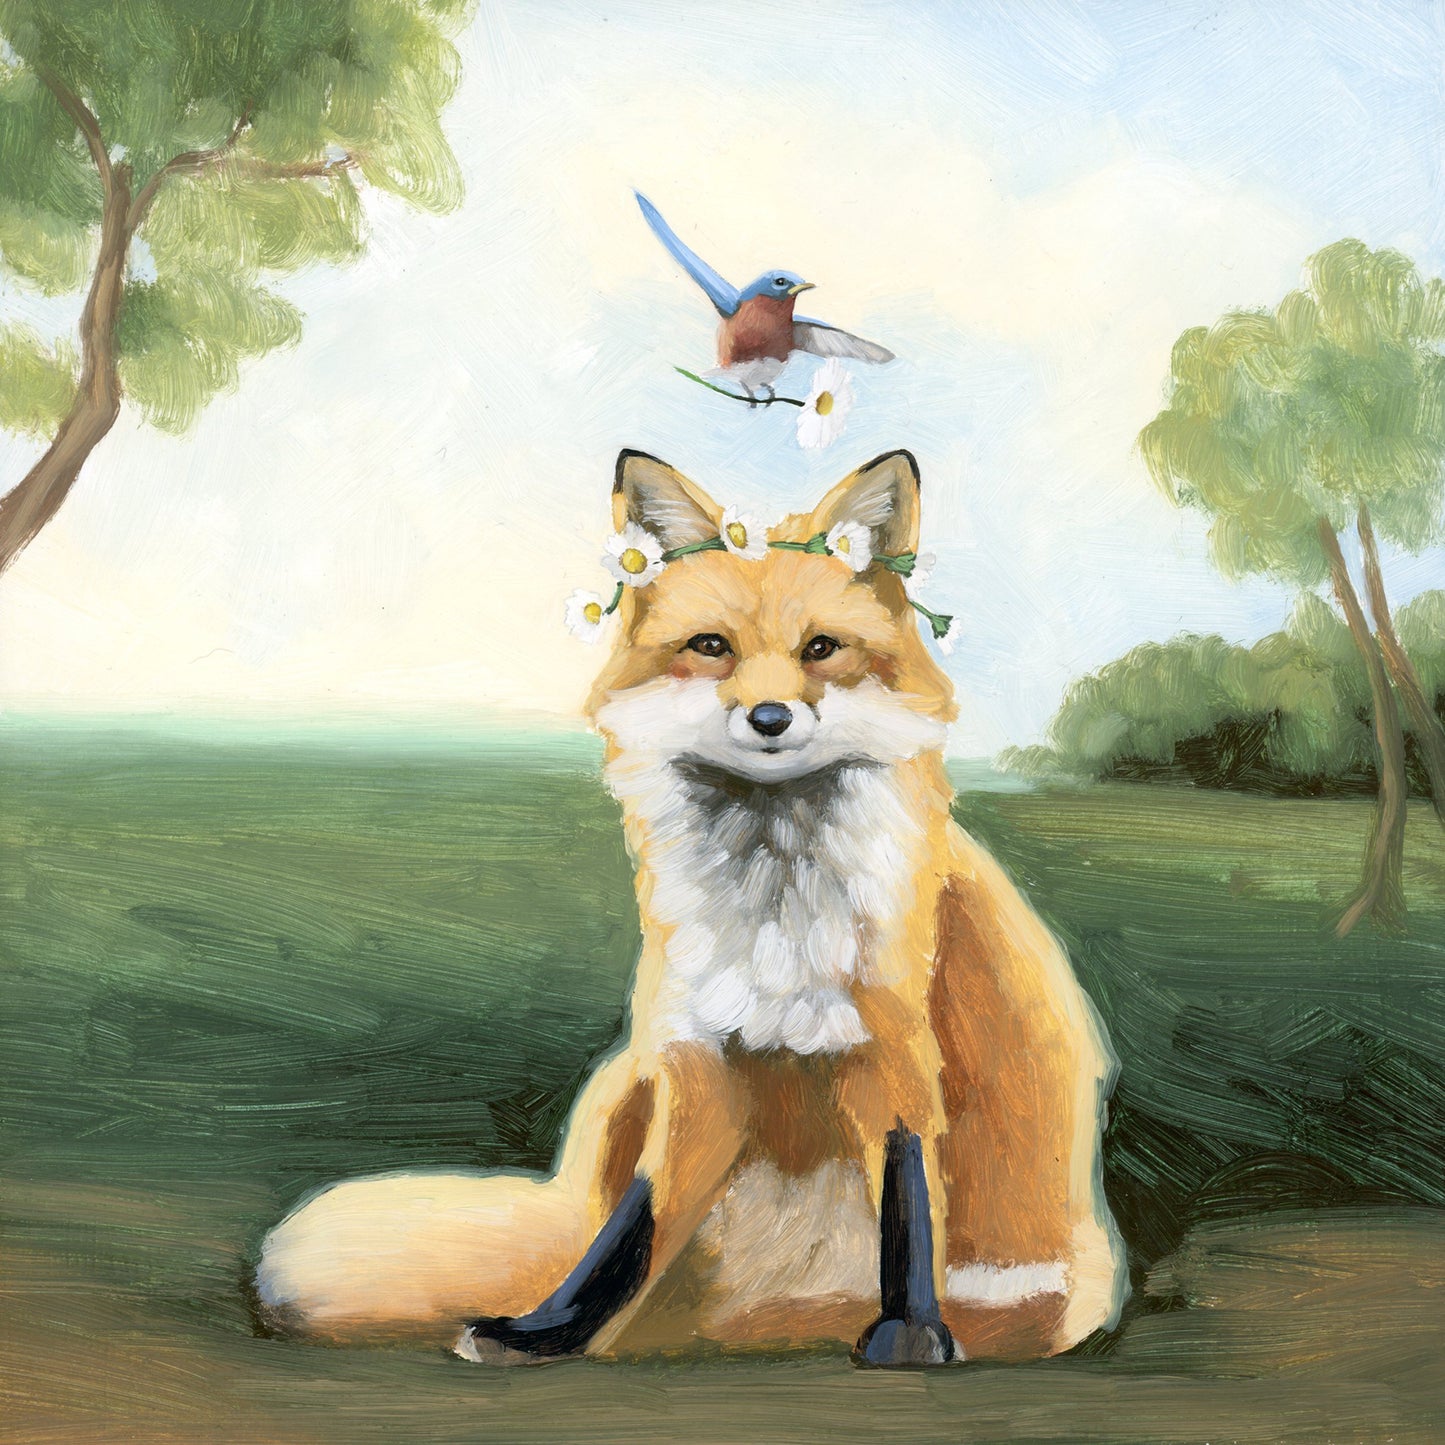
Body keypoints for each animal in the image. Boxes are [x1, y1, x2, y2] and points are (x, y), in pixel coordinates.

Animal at [255, 448, 1128, 1366]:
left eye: (821, 648)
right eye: (711, 646)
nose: (770, 716)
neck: (775, 920)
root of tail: (754, 1303)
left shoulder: (894, 1052)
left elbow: (908, 1196)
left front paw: (912, 1330)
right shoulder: (694, 1061)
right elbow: (629, 1231)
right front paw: (547, 1330)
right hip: (626, 1078)